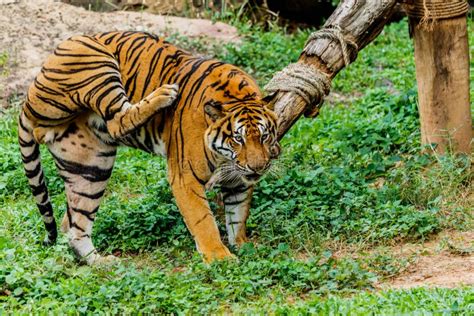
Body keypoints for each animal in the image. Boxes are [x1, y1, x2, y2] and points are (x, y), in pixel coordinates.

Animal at [18, 31, 280, 264]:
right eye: (238, 139)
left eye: (265, 136)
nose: (258, 168)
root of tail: (28, 100)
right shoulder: (184, 176)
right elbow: (203, 220)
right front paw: (219, 257)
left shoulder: (238, 179)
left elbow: (238, 214)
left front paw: (243, 246)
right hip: (93, 59)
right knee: (117, 121)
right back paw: (165, 93)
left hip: (91, 168)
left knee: (74, 226)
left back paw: (101, 263)